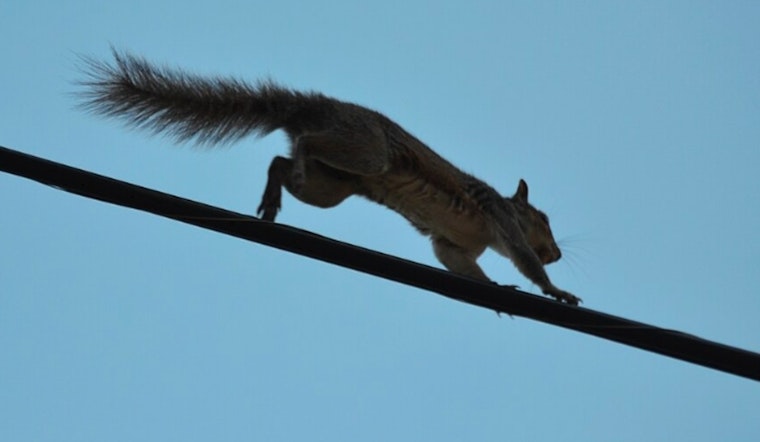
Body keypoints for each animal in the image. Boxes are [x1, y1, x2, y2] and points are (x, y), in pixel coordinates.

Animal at [77, 50, 581, 305]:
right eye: (542, 219)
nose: (557, 253)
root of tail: (312, 108)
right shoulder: (501, 219)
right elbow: (522, 257)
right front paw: (555, 289)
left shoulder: (453, 245)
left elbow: (460, 265)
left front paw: (496, 288)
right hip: (367, 153)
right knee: (306, 145)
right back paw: (295, 161)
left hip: (333, 185)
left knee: (280, 163)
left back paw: (274, 194)